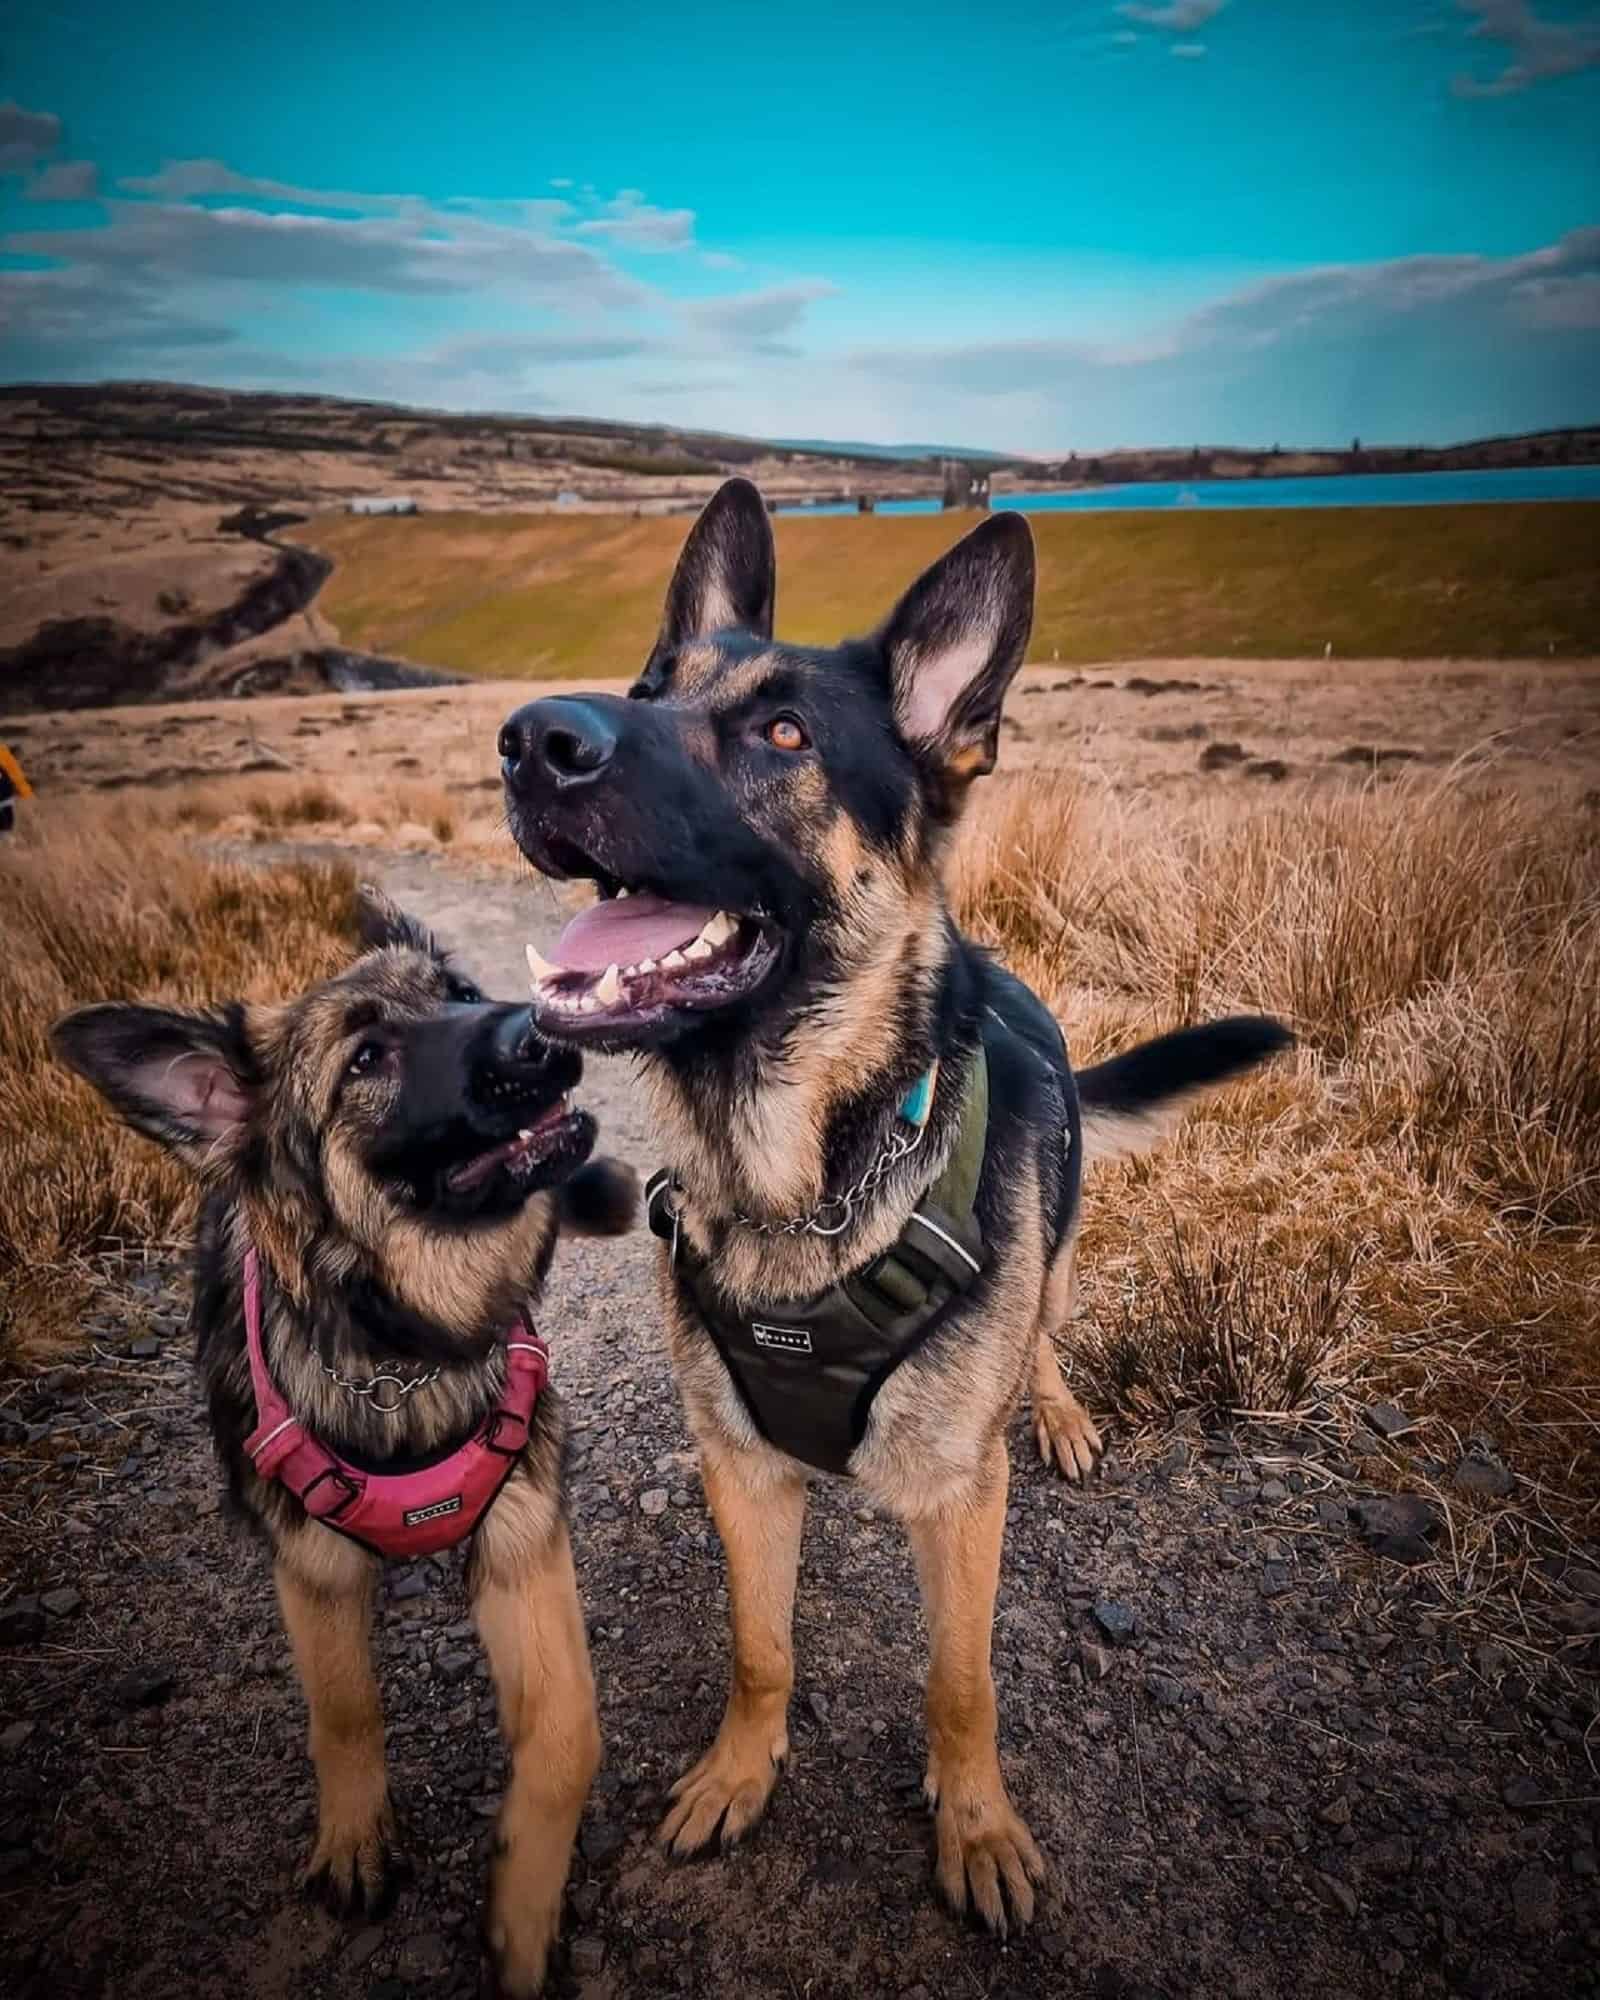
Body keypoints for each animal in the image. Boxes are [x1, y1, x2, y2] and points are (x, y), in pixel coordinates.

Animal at [50, 900, 636, 1992]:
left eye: (457, 991)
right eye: (365, 1058)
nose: (543, 1030)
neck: (406, 1349)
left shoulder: (521, 1540)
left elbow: (570, 1732)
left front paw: (521, 1905)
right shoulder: (314, 1566)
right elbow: (344, 1703)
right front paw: (357, 1836)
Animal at [496, 476, 1288, 1928]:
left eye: (783, 733)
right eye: (647, 688)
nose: (531, 740)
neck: (803, 1177)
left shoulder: (964, 1503)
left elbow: (960, 1683)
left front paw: (972, 1825)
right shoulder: (742, 1471)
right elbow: (759, 1648)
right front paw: (739, 1772)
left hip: (1056, 1253)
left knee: (1044, 1333)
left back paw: (1061, 1409)